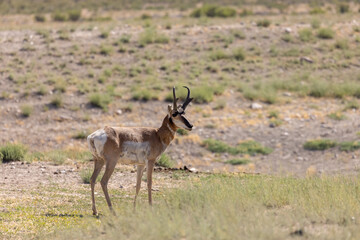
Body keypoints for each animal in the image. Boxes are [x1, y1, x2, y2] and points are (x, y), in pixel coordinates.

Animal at [87, 86, 193, 216]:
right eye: (174, 113)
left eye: (184, 113)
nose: (190, 125)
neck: (157, 135)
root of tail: (93, 136)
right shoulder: (151, 161)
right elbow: (149, 182)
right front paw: (151, 207)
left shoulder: (140, 164)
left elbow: (138, 185)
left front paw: (134, 209)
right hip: (111, 162)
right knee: (103, 181)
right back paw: (112, 211)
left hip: (99, 161)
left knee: (92, 179)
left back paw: (95, 211)